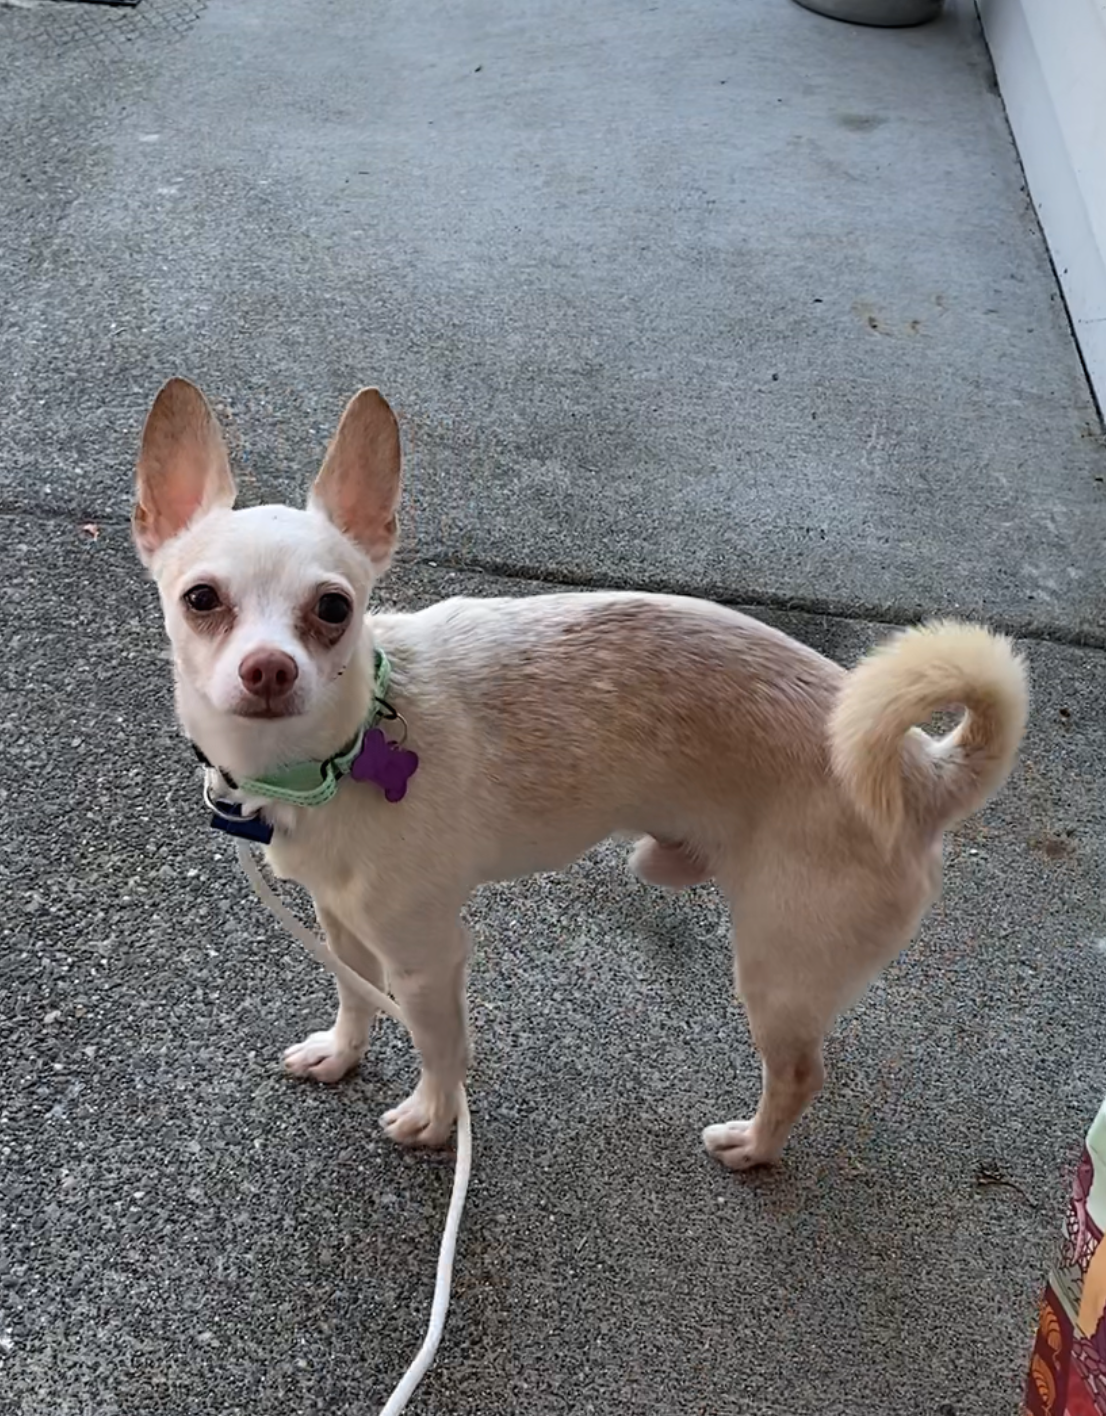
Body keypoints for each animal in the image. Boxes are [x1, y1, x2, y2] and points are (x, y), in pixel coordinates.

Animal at [135, 379, 1025, 1172]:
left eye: (333, 609)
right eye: (201, 599)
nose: (269, 669)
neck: (332, 758)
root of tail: (924, 772)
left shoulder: (428, 959)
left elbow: (441, 1048)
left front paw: (434, 1118)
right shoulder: (341, 921)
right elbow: (355, 993)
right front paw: (341, 1052)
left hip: (779, 971)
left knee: (800, 1074)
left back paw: (754, 1148)